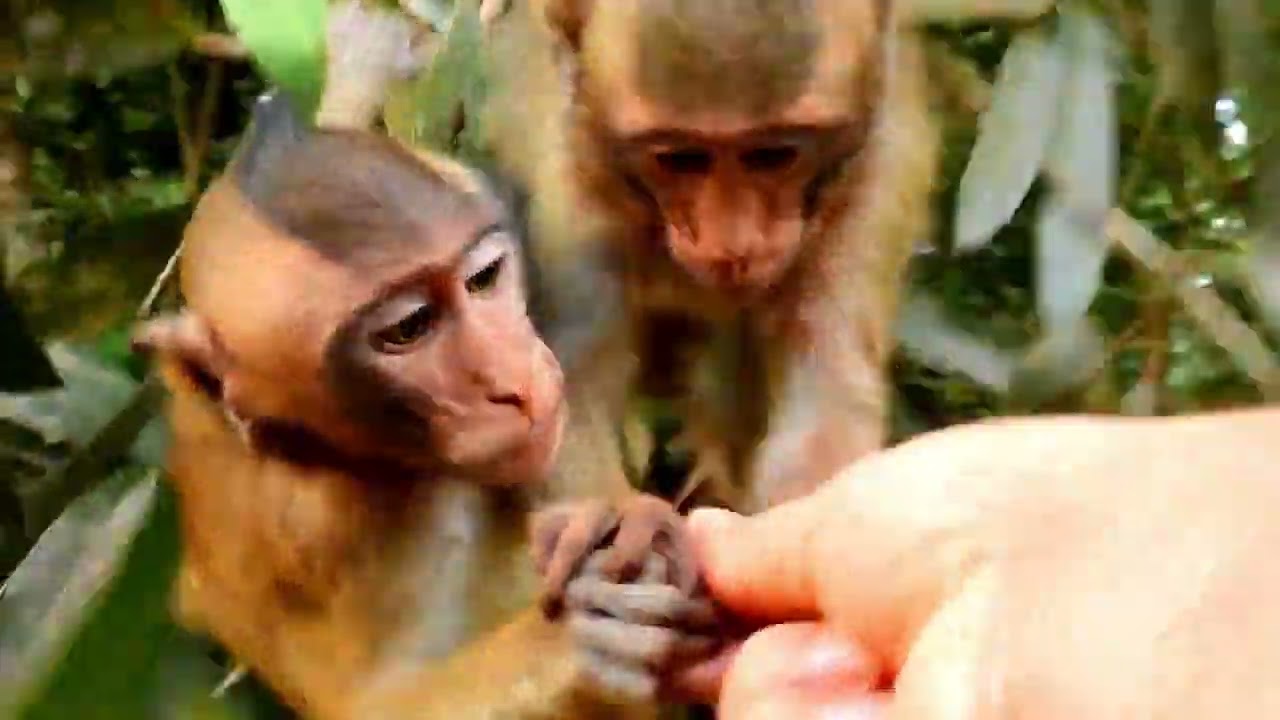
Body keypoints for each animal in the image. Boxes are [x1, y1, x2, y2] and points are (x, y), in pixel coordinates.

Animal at [477, 0, 941, 515]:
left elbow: (829, 401)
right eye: (681, 159)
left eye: (773, 155)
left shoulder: (872, 175)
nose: (732, 244)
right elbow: (562, 393)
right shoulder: (574, 185)